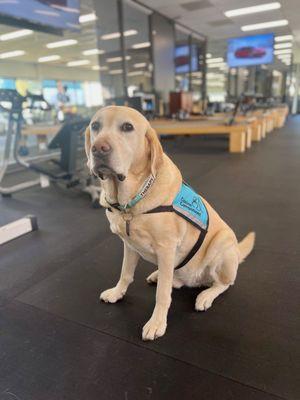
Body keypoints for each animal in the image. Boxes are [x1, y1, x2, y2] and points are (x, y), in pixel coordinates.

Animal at [85, 106, 255, 340]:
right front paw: (117, 292)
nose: (99, 149)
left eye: (127, 127)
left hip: (222, 246)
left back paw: (206, 295)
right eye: (95, 126)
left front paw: (157, 323)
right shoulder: (129, 246)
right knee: (176, 278)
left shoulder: (166, 248)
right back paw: (160, 275)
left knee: (223, 283)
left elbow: (163, 294)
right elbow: (125, 274)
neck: (131, 200)